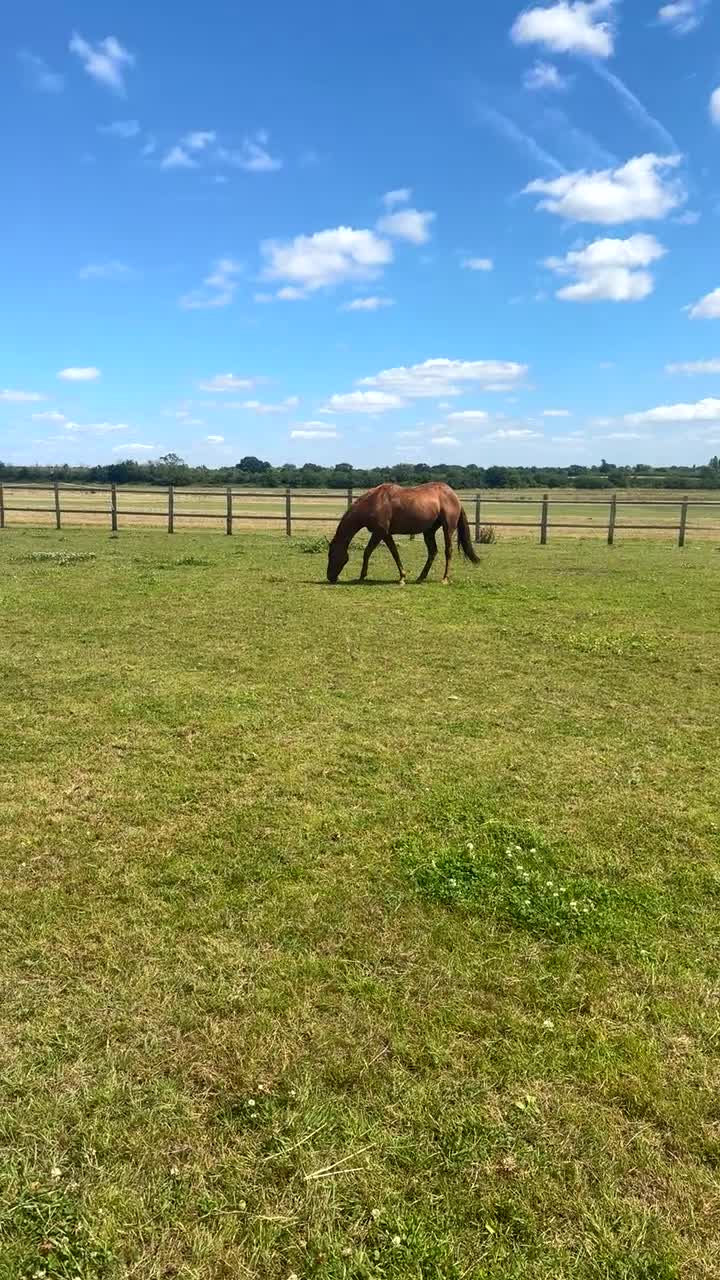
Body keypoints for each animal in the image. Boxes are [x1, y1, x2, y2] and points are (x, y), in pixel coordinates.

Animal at [326, 482, 480, 585]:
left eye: (331, 555)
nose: (330, 577)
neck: (374, 501)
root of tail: (454, 495)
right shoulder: (385, 534)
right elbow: (395, 553)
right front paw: (402, 577)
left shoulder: (379, 533)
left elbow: (368, 552)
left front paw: (362, 576)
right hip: (429, 531)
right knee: (432, 552)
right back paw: (421, 577)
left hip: (448, 528)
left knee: (448, 551)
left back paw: (445, 578)